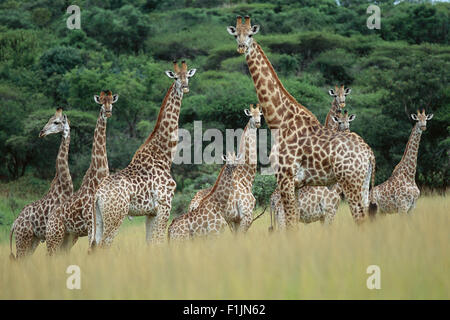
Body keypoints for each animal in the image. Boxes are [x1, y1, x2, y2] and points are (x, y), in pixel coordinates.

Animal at [8, 109, 73, 258]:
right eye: (49, 119)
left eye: (56, 122)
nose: (42, 132)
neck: (65, 185)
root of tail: (14, 223)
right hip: (23, 239)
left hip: (33, 240)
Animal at [44, 90, 117, 255]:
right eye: (101, 102)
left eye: (111, 101)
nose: (108, 112)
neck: (98, 177)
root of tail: (50, 218)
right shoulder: (91, 223)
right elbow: (92, 249)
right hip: (54, 237)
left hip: (69, 237)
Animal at [90, 61, 197, 249]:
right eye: (176, 78)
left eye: (188, 76)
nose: (185, 87)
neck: (164, 155)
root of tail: (97, 195)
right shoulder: (164, 204)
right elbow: (159, 241)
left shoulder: (151, 212)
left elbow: (151, 243)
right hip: (115, 216)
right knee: (104, 245)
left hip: (98, 220)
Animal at [227, 15, 378, 225]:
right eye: (236, 35)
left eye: (250, 34)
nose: (241, 47)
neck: (279, 120)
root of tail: (369, 153)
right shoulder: (296, 183)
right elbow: (294, 221)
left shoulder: (285, 177)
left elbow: (291, 223)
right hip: (363, 183)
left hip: (350, 181)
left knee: (360, 218)